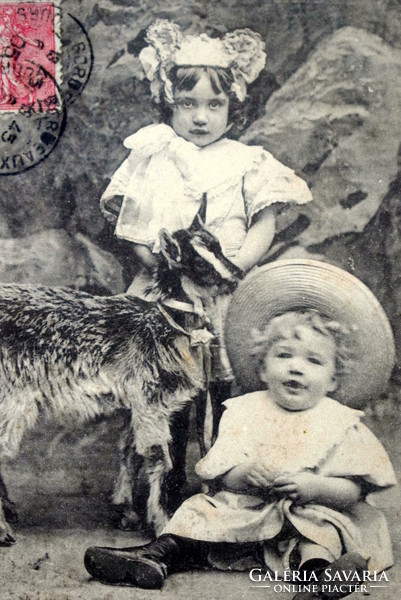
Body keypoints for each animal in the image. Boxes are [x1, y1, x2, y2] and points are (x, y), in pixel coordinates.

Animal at [0, 220, 241, 544]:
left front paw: (125, 509)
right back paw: (4, 528)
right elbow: (158, 458)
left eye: (218, 246)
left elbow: (129, 450)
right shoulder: (149, 401)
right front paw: (160, 521)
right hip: (13, 397)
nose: (237, 276)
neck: (163, 324)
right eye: (199, 263)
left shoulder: (134, 403)